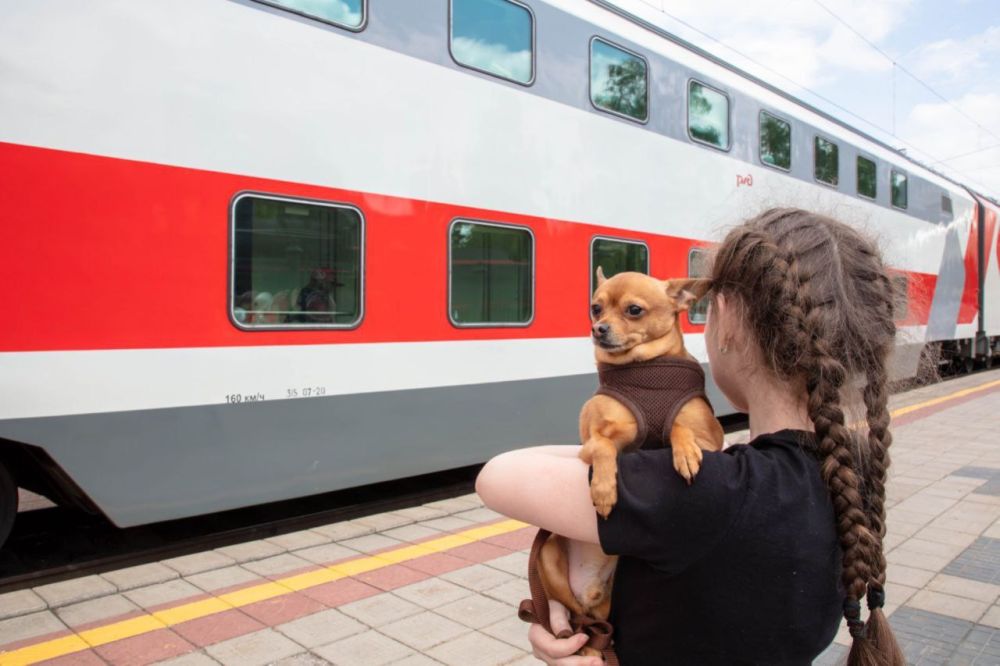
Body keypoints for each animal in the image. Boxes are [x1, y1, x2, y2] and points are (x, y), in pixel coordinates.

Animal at [536, 268, 724, 644]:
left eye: (634, 310)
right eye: (595, 308)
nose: (598, 328)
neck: (644, 369)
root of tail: (590, 591)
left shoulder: (713, 440)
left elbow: (678, 429)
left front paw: (683, 452)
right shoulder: (590, 442)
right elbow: (606, 445)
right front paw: (604, 490)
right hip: (548, 557)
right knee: (571, 612)